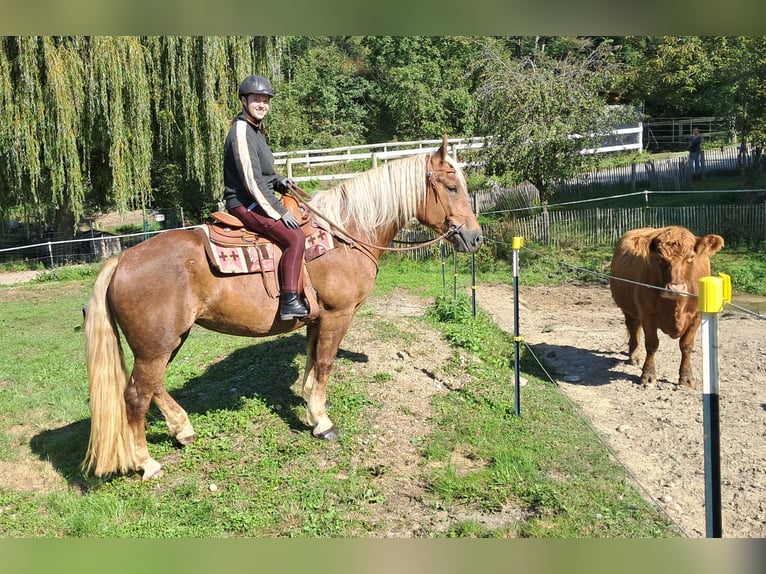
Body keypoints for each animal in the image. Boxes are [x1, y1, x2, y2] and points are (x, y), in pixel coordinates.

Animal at [81, 136, 484, 482]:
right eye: (451, 187)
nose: (475, 237)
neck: (345, 235)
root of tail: (120, 261)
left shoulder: (316, 318)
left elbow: (311, 361)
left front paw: (310, 407)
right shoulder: (337, 315)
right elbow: (325, 363)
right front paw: (322, 422)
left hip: (168, 342)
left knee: (154, 386)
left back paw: (183, 430)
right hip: (155, 346)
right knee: (135, 396)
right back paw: (147, 463)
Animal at [612, 227, 728, 390]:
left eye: (691, 256)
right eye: (659, 257)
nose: (675, 288)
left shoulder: (697, 316)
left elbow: (686, 345)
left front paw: (686, 378)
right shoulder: (647, 314)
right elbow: (652, 344)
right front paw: (648, 376)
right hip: (628, 308)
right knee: (633, 327)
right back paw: (634, 355)